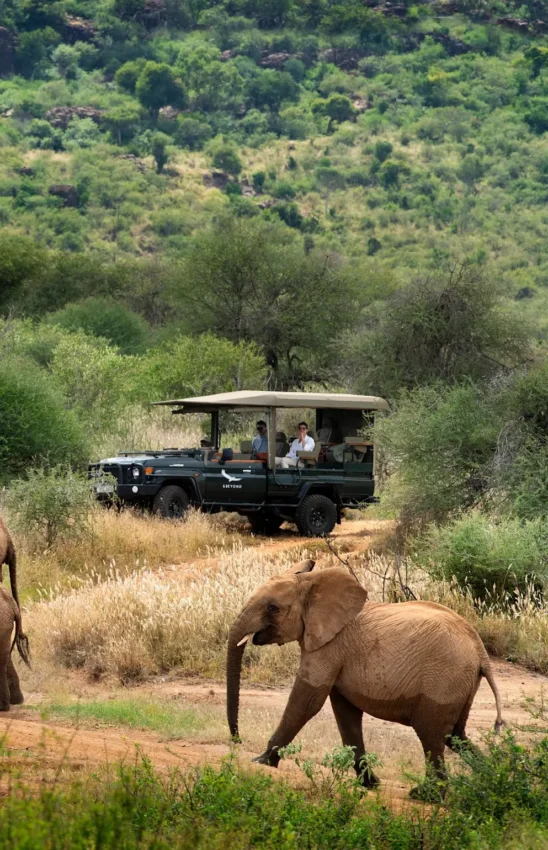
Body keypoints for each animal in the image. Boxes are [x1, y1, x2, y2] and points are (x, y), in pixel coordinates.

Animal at [226, 560, 503, 793]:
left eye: (273, 608)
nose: (237, 740)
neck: (313, 582)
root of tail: (481, 652)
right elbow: (345, 713)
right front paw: (370, 784)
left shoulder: (330, 646)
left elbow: (307, 701)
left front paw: (260, 762)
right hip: (458, 683)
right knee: (455, 735)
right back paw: (489, 783)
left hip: (444, 679)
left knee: (432, 735)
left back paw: (426, 795)